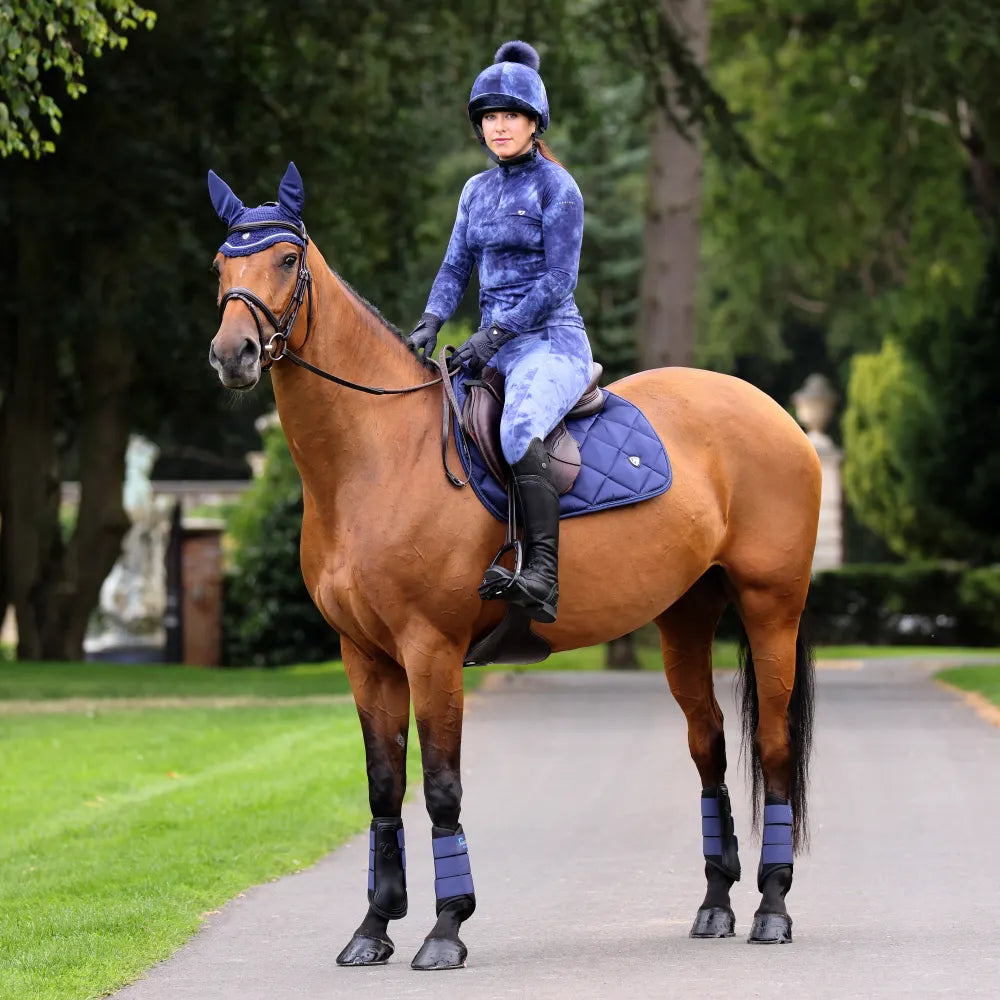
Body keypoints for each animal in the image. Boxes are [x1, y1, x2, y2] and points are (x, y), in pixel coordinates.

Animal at [205, 164, 820, 968]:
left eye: (285, 260)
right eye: (220, 267)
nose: (233, 354)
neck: (377, 455)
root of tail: (780, 416)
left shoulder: (430, 651)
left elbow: (440, 788)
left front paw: (446, 927)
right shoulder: (364, 656)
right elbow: (382, 789)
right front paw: (373, 927)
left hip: (771, 608)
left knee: (773, 749)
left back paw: (773, 906)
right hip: (686, 619)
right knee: (709, 747)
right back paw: (717, 902)